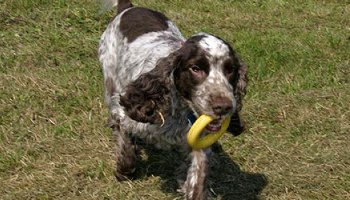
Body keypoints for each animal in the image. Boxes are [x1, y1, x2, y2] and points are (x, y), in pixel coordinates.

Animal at [97, 0, 247, 198]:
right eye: (195, 68)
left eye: (230, 70)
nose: (223, 107)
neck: (179, 111)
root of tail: (129, 7)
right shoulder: (122, 111)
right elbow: (125, 144)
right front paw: (123, 171)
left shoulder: (198, 143)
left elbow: (197, 177)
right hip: (110, 79)